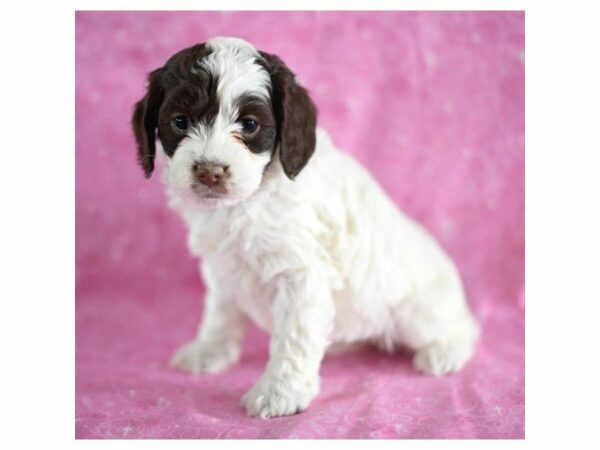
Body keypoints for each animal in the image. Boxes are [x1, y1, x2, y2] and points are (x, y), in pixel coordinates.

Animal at [130, 36, 478, 418]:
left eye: (249, 124)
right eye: (180, 121)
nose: (210, 172)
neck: (245, 203)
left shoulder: (300, 274)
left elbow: (293, 337)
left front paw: (279, 393)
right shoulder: (222, 267)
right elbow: (220, 312)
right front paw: (209, 349)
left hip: (418, 312)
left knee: (463, 328)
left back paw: (444, 352)